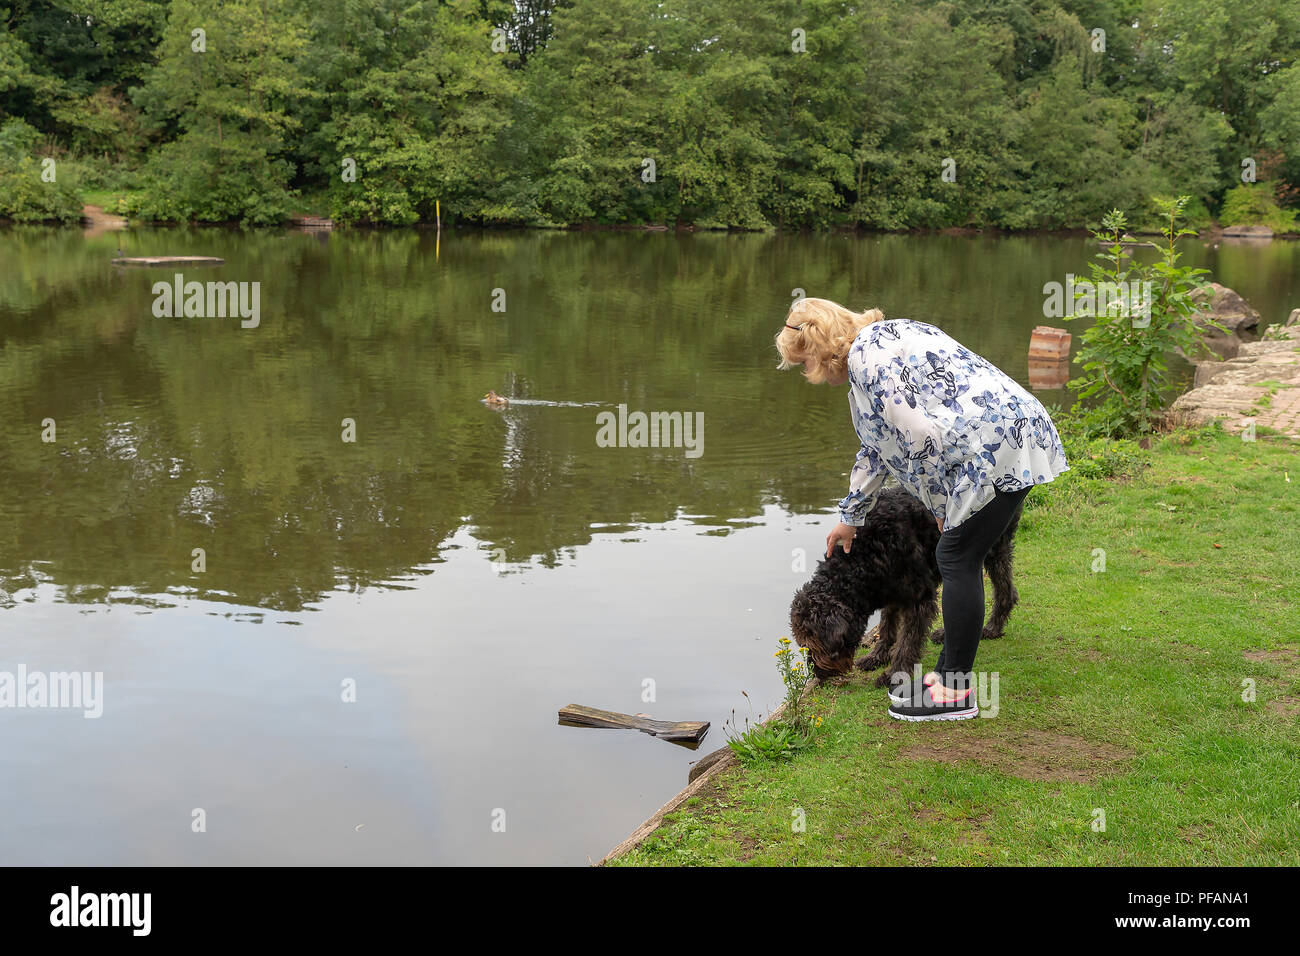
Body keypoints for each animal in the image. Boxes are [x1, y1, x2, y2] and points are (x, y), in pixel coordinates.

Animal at [785, 489, 1019, 686]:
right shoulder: (891, 593)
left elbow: (907, 642)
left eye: (815, 644)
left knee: (1005, 592)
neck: (862, 560)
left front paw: (894, 674)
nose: (818, 675)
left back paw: (991, 628)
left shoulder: (919, 598)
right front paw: (876, 657)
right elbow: (887, 629)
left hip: (990, 547)